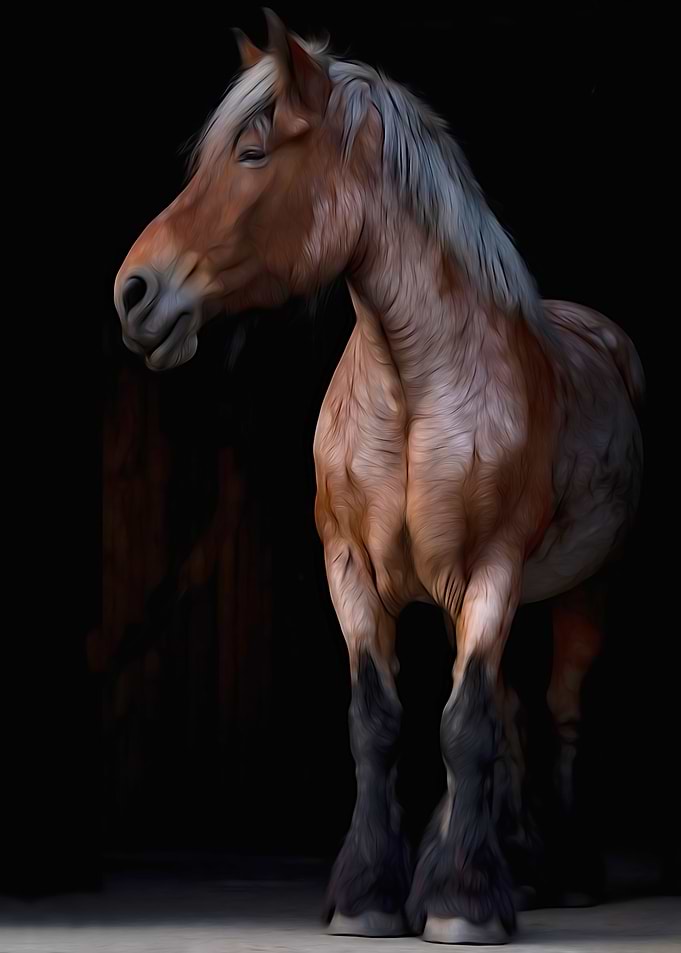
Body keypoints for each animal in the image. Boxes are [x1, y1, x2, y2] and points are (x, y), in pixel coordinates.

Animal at [113, 10, 644, 944]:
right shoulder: (351, 572)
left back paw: (564, 875)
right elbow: (380, 723)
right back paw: (508, 862)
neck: (410, 389)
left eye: (251, 153)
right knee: (511, 714)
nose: (133, 293)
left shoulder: (491, 574)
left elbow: (461, 725)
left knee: (559, 711)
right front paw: (371, 894)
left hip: (586, 588)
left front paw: (461, 903)